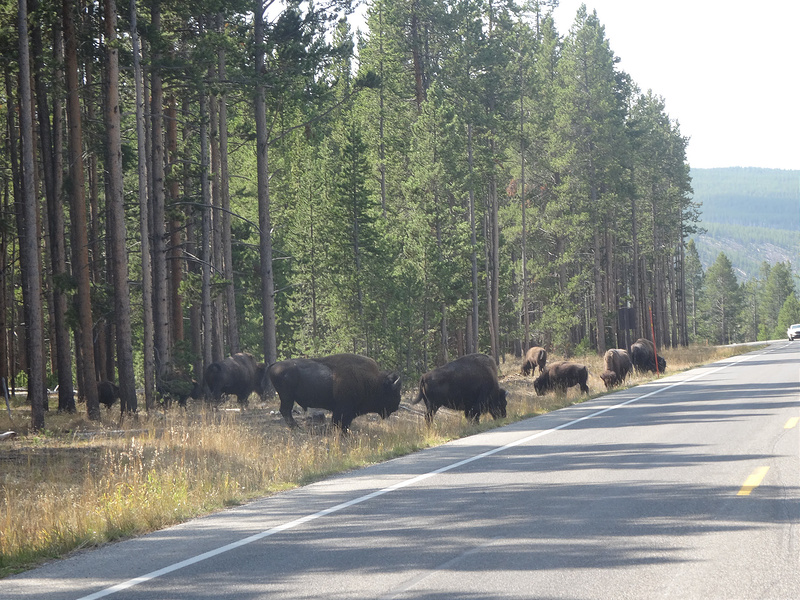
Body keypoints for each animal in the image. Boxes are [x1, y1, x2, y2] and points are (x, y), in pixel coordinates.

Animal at [268, 352, 404, 432]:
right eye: (394, 392)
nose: (396, 406)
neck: (372, 381)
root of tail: (274, 365)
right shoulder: (343, 409)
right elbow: (338, 421)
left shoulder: (348, 411)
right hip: (287, 397)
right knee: (285, 410)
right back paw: (296, 427)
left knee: (285, 411)